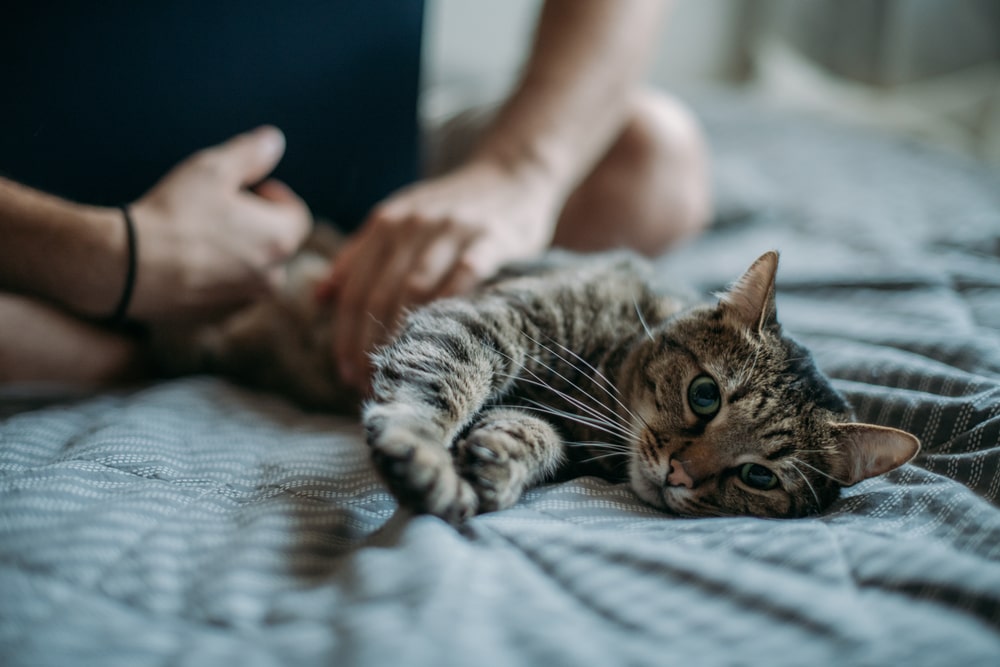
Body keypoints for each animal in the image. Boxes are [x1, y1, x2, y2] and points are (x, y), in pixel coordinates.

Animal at [152, 243, 916, 524]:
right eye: (705, 395)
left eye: (760, 476)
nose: (679, 473)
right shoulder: (489, 321)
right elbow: (441, 387)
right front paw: (423, 455)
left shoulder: (548, 424)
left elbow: (522, 431)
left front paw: (492, 465)